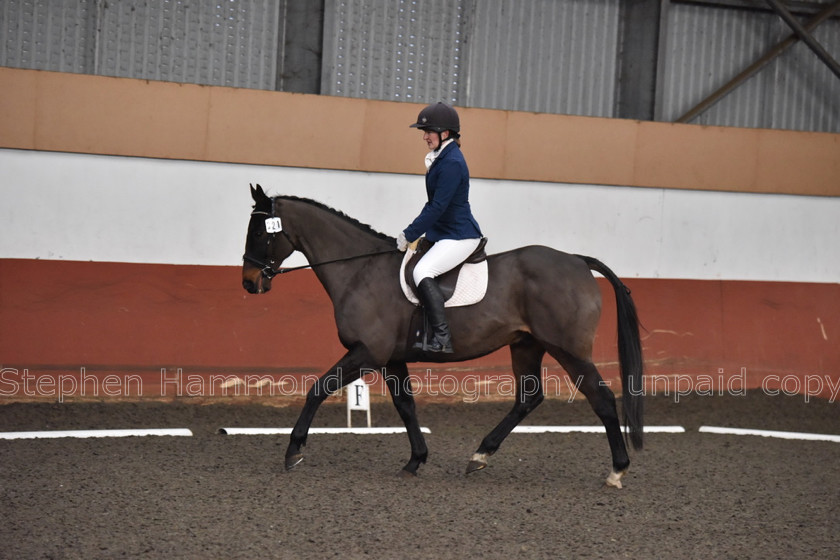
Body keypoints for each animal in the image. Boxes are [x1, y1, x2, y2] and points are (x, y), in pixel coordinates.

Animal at [240, 186, 648, 488]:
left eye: (259, 232)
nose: (249, 282)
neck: (359, 270)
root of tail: (578, 261)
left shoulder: (368, 352)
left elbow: (318, 389)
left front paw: (294, 450)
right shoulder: (392, 358)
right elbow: (405, 405)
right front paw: (415, 460)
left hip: (568, 349)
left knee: (602, 398)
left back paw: (617, 470)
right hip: (526, 345)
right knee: (528, 398)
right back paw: (479, 455)